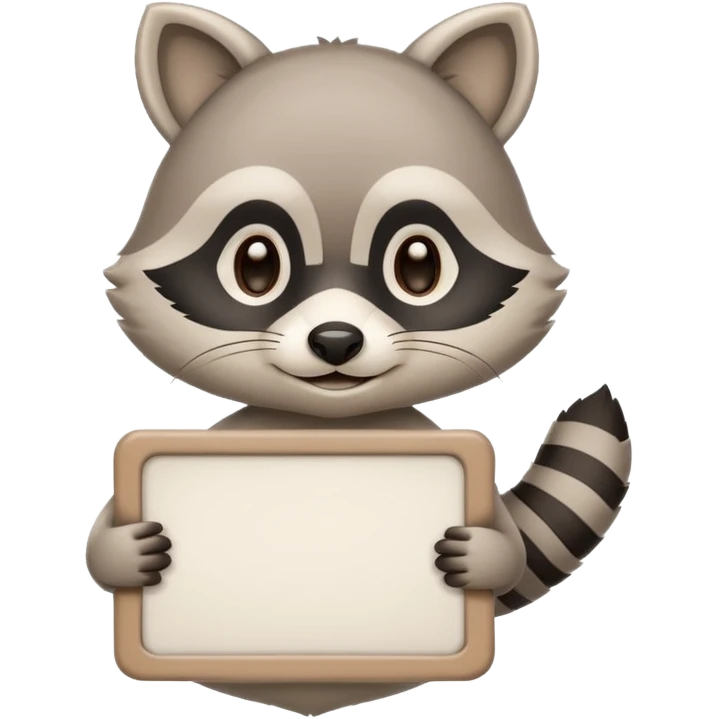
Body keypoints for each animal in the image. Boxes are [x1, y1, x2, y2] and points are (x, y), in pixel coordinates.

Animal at [88, 2, 633, 715]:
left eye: (418, 264)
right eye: (255, 264)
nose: (336, 341)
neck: (327, 424)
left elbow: (509, 551)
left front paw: (486, 554)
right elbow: (106, 536)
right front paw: (120, 548)